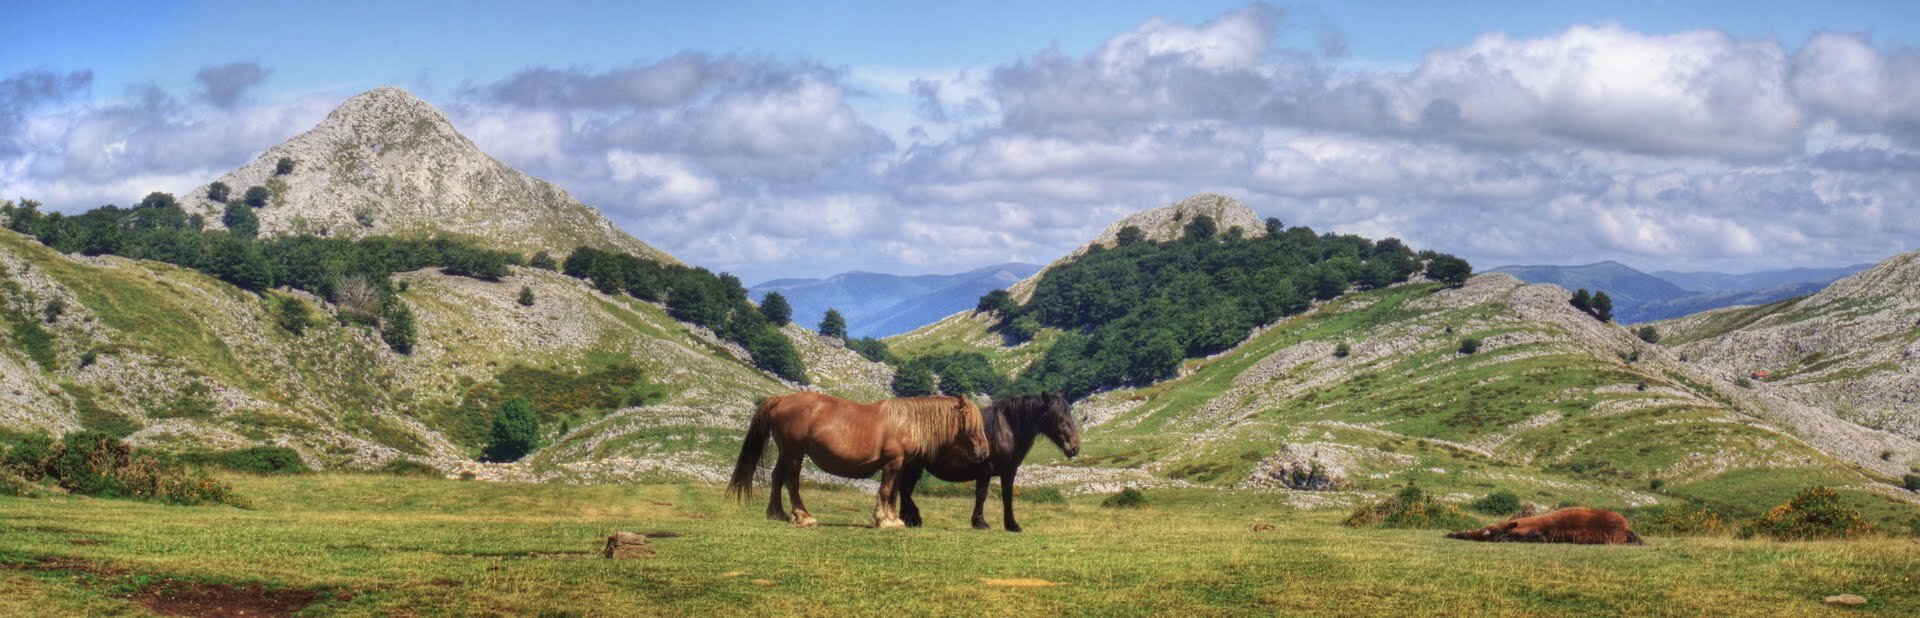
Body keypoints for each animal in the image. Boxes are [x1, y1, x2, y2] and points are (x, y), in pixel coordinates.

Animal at [721, 393, 983, 529]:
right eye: (971, 424)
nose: (984, 451)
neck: (904, 422)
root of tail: (782, 399)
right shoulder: (892, 463)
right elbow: (886, 491)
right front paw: (883, 520)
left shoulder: (898, 465)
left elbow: (893, 492)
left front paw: (892, 518)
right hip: (794, 453)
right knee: (791, 481)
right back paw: (803, 516)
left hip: (787, 453)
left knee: (777, 478)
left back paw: (778, 514)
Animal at [898, 391, 1082, 529]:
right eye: (1059, 418)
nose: (1075, 447)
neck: (1005, 430)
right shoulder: (985, 470)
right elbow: (982, 495)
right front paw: (980, 523)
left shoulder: (1009, 472)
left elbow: (1007, 496)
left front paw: (1012, 525)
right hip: (913, 467)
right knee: (905, 490)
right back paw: (913, 518)